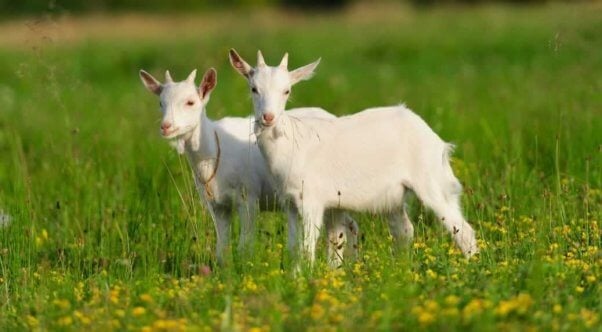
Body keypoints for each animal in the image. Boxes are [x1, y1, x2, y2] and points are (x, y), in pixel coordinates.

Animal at [140, 67, 356, 268]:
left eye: (190, 102)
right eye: (161, 103)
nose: (166, 126)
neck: (212, 149)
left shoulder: (248, 198)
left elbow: (245, 245)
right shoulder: (218, 205)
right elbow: (221, 248)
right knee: (349, 225)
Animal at [227, 49, 476, 264]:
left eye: (287, 90)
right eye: (253, 88)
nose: (268, 117)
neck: (291, 142)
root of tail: (436, 141)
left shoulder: (311, 201)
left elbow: (307, 248)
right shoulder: (290, 203)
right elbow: (294, 247)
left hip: (431, 181)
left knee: (463, 230)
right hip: (394, 197)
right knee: (405, 230)